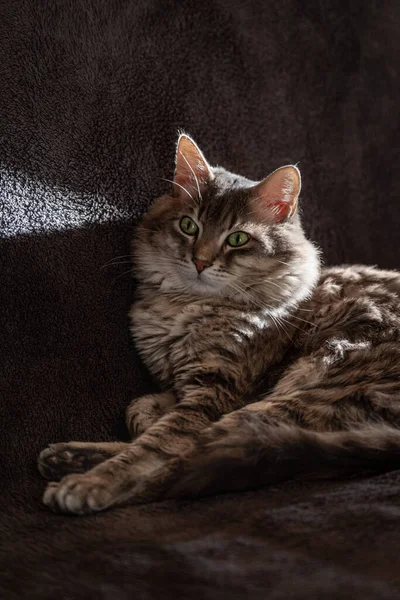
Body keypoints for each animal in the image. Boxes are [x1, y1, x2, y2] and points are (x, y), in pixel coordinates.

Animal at [38, 134, 400, 512]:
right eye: (188, 226)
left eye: (237, 239)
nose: (200, 261)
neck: (186, 307)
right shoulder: (184, 383)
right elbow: (139, 407)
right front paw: (144, 419)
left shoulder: (217, 390)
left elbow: (158, 443)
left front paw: (98, 480)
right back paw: (65, 456)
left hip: (306, 394)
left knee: (196, 465)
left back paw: (80, 478)